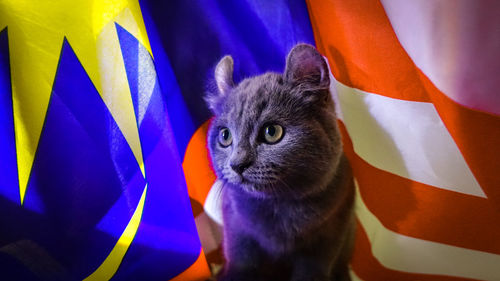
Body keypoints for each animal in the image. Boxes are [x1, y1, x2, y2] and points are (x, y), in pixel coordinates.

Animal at [205, 43, 354, 280]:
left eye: (272, 132)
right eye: (225, 136)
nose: (237, 164)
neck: (279, 205)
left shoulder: (328, 237)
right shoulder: (238, 235)